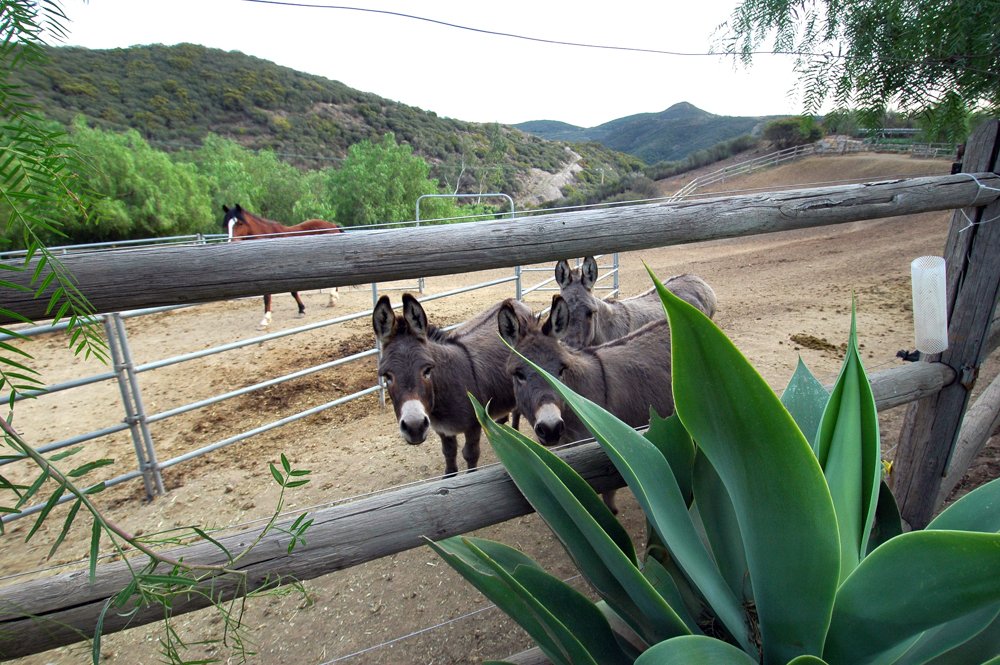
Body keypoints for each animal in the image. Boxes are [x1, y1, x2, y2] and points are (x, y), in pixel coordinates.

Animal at [372, 293, 532, 478]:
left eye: (427, 370)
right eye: (387, 376)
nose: (414, 428)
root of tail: (513, 301)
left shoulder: (474, 425)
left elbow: (470, 454)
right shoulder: (442, 429)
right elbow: (449, 453)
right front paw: (449, 476)